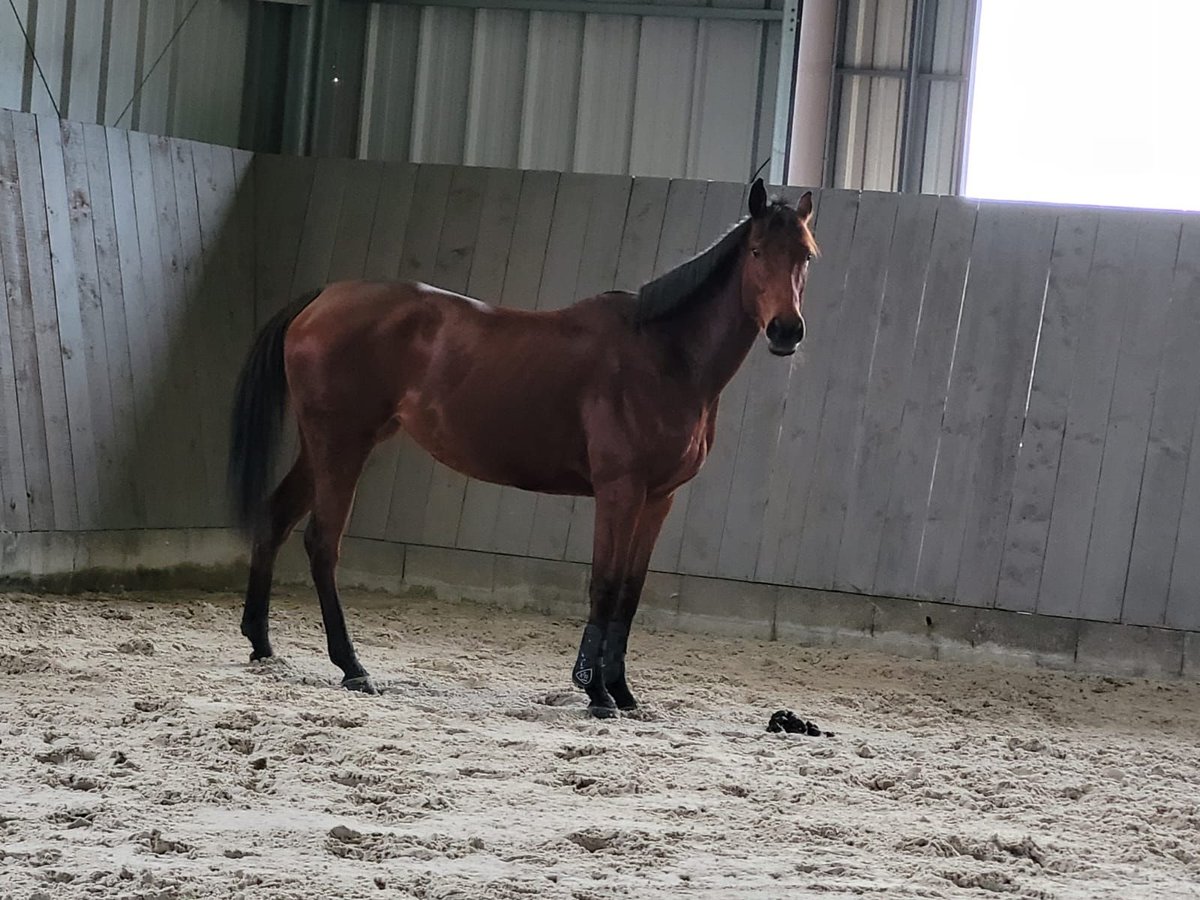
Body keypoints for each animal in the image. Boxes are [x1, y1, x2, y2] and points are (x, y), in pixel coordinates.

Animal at [229, 180, 820, 720]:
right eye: (757, 251)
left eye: (806, 255)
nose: (786, 330)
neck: (663, 355)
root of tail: (323, 297)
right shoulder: (619, 491)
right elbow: (605, 586)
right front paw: (596, 694)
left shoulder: (658, 499)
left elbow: (629, 594)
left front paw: (622, 692)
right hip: (342, 445)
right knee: (322, 542)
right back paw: (352, 667)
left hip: (326, 446)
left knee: (276, 518)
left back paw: (261, 642)